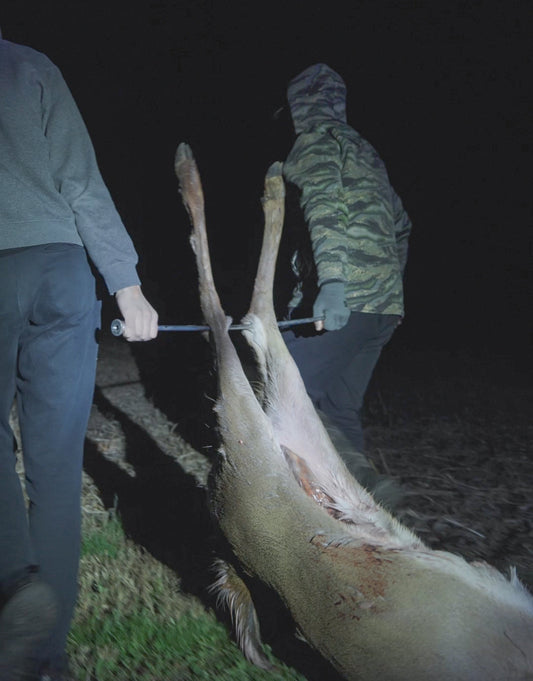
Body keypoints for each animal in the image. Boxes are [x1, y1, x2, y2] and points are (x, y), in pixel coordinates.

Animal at [174, 142, 533, 681]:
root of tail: (217, 500)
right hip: (251, 447)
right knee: (224, 314)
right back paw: (198, 172)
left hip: (298, 435)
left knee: (256, 320)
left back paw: (270, 182)